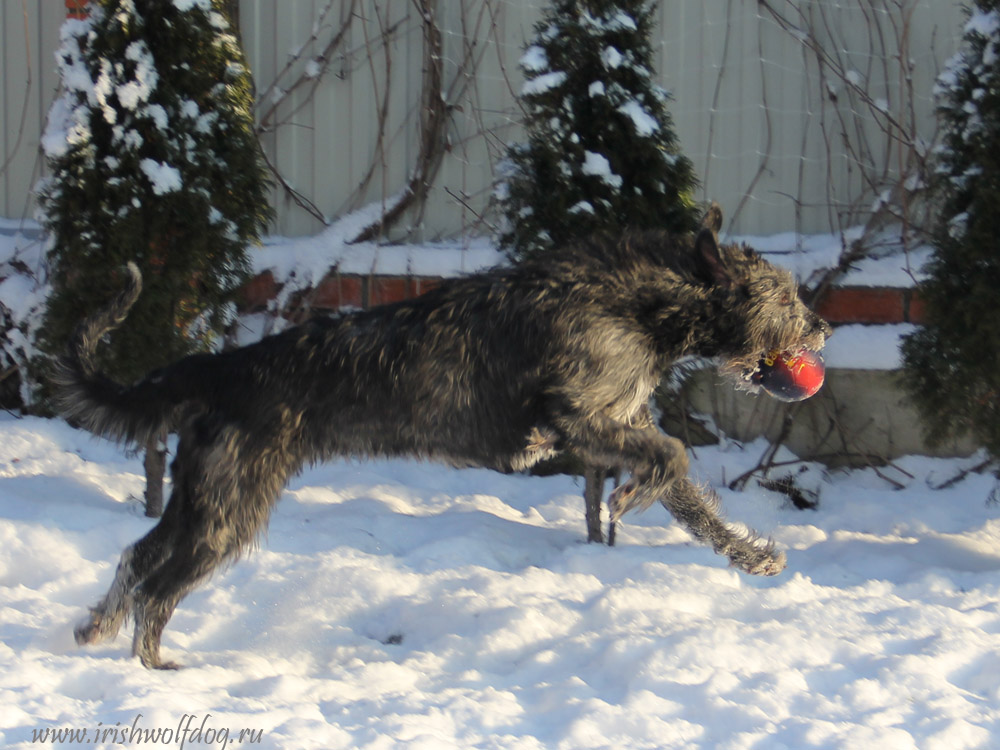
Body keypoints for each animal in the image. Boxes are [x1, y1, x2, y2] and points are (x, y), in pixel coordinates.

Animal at [58, 206, 832, 668]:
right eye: (786, 296)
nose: (824, 328)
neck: (641, 300)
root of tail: (217, 369)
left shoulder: (620, 422)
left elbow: (691, 496)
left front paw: (751, 555)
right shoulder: (579, 413)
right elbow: (669, 458)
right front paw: (633, 499)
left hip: (200, 498)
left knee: (137, 557)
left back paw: (95, 630)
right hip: (229, 509)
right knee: (157, 588)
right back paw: (155, 668)